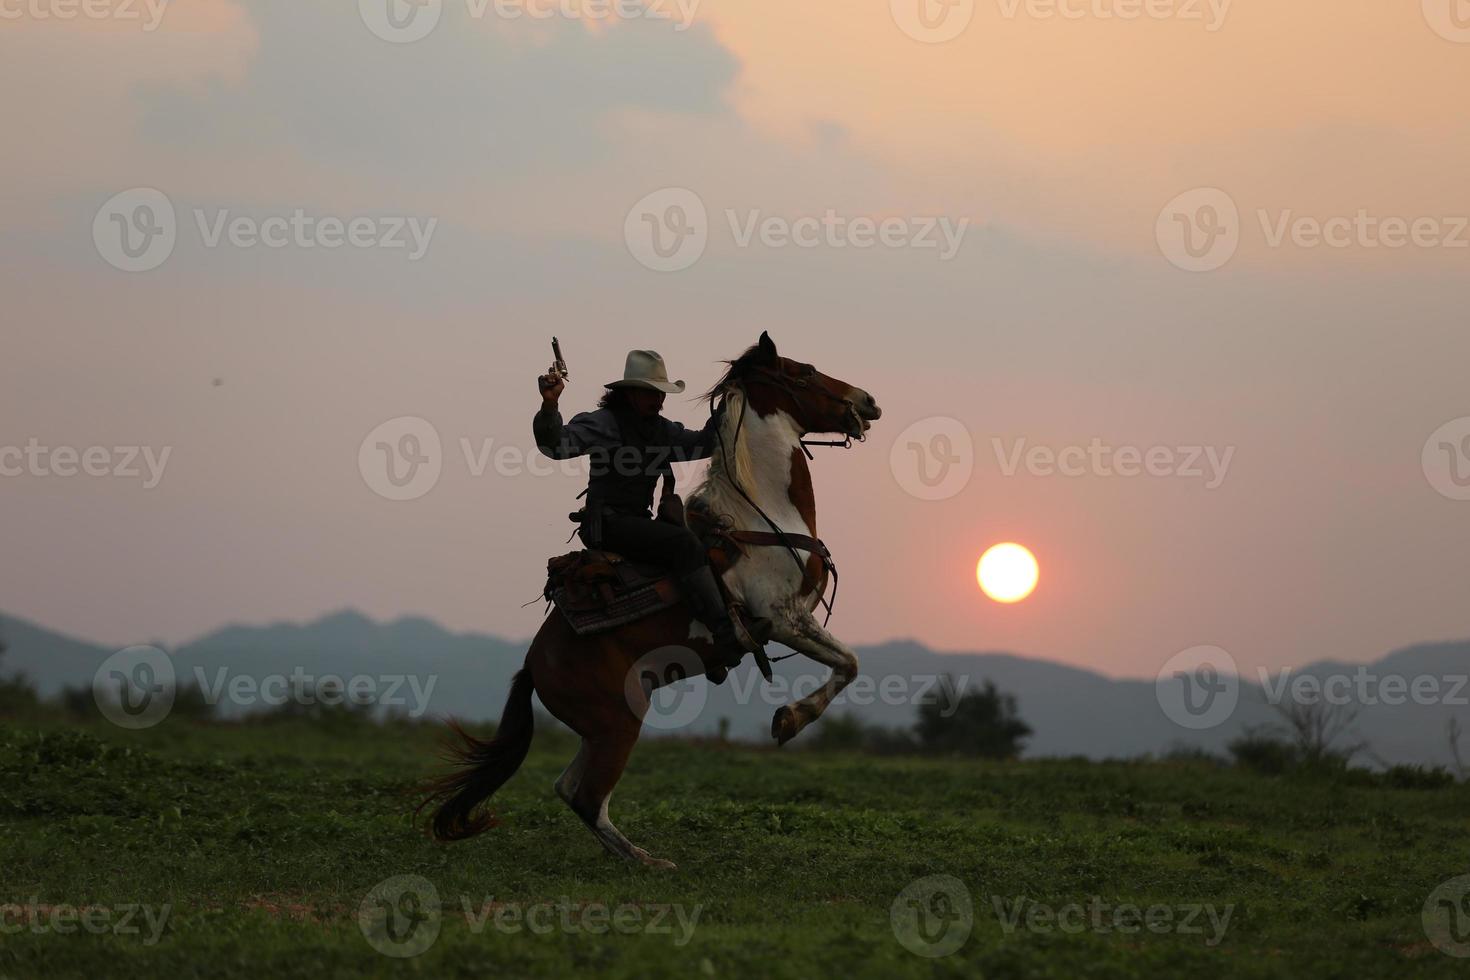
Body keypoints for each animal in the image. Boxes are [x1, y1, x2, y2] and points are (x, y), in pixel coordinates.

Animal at [426, 333, 882, 869]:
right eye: (805, 372)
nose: (866, 401)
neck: (761, 516)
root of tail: (533, 665)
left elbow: (847, 663)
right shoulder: (782, 619)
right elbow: (849, 663)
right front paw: (789, 720)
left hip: (600, 728)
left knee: (569, 788)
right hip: (619, 722)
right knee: (587, 795)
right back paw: (648, 862)